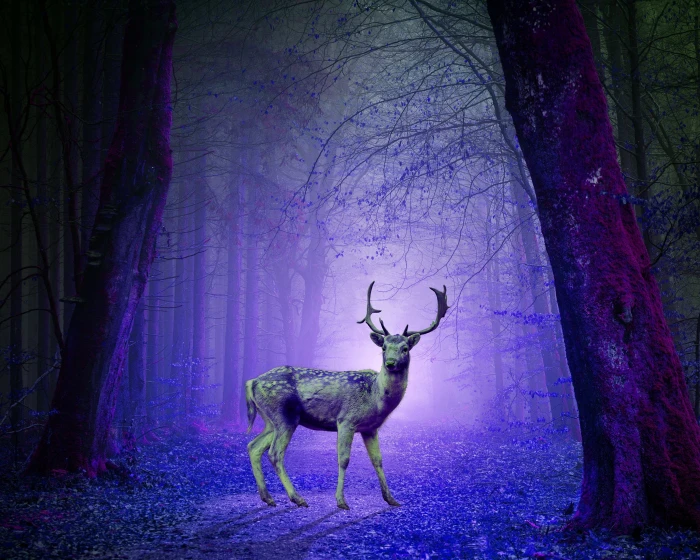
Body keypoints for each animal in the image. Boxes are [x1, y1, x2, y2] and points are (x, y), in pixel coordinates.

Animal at [245, 281, 448, 510]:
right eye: (384, 347)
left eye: (405, 348)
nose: (390, 363)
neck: (375, 398)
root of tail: (252, 382)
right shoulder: (346, 420)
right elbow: (343, 459)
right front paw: (341, 501)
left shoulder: (370, 428)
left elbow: (378, 460)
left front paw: (391, 498)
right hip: (284, 415)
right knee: (274, 453)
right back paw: (297, 498)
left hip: (270, 419)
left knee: (253, 446)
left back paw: (268, 498)